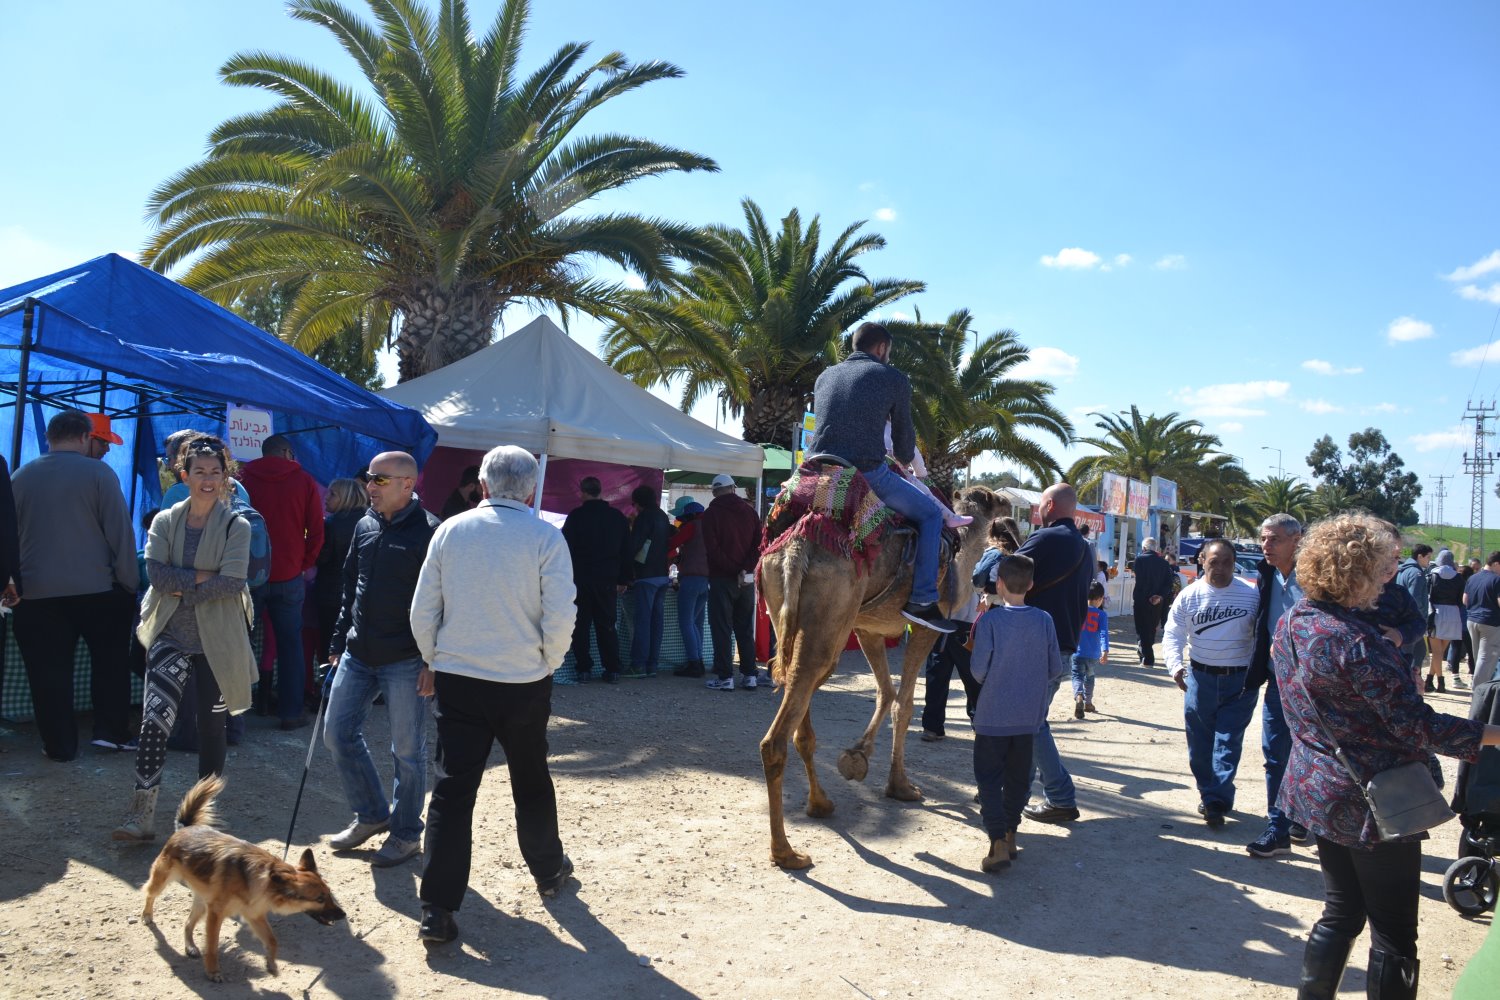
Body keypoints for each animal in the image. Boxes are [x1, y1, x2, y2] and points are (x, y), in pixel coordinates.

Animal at [141, 773, 345, 983]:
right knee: (150, 894)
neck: (262, 881)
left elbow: (272, 940)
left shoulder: (254, 914)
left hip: (202, 901)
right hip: (163, 879)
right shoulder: (216, 914)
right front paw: (213, 971)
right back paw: (147, 915)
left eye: (330, 894)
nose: (343, 915)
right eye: (319, 899)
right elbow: (212, 945)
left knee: (188, 923)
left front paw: (271, 965)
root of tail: (185, 827)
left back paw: (190, 946)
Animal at [762, 485, 1008, 869]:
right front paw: (902, 787)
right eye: (993, 499)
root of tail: (795, 549)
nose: (1010, 504)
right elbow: (903, 705)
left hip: (786, 611)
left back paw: (820, 804)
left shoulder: (868, 629)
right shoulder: (925, 629)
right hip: (830, 619)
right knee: (778, 734)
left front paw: (856, 758)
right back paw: (787, 852)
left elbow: (885, 692)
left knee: (799, 699)